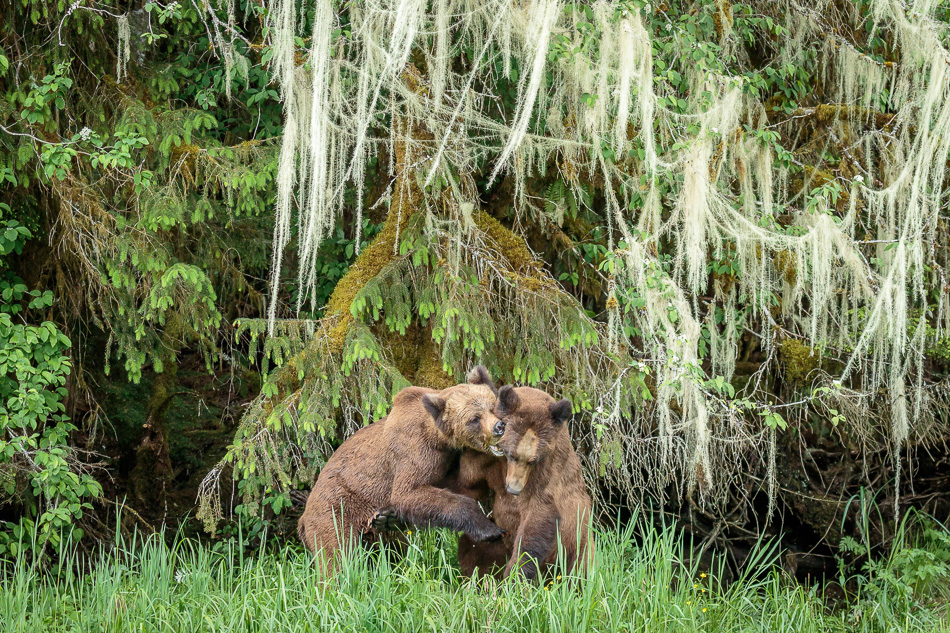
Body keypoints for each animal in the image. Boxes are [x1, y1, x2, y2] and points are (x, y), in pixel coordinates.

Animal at [296, 366, 507, 572]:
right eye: (474, 418)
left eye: (492, 406)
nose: (499, 427)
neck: (439, 439)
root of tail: (303, 517)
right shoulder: (415, 451)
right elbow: (407, 492)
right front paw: (490, 529)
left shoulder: (448, 459)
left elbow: (460, 485)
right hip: (335, 510)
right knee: (337, 555)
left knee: (393, 550)